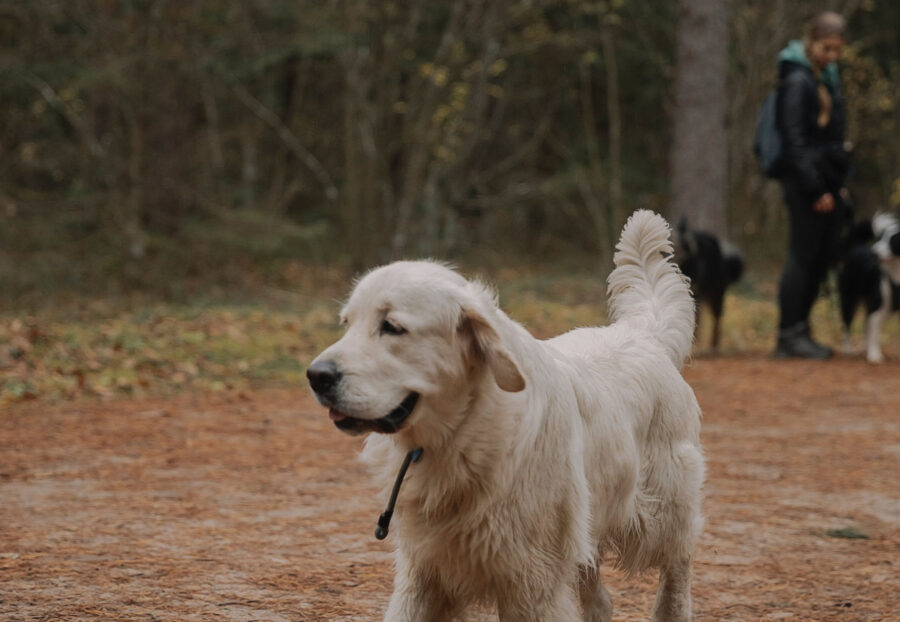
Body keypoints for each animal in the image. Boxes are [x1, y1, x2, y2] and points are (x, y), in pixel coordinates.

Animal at [308, 211, 704, 622]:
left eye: (392, 327)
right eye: (347, 324)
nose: (316, 375)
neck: (461, 434)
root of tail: (643, 335)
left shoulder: (533, 584)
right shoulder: (424, 570)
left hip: (659, 516)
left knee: (679, 562)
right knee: (601, 599)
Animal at [840, 212, 900, 364]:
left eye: (893, 241)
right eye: (880, 238)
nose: (874, 253)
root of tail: (857, 245)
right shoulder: (877, 304)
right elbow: (874, 334)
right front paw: (874, 355)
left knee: (866, 325)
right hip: (850, 300)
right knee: (849, 326)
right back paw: (849, 350)